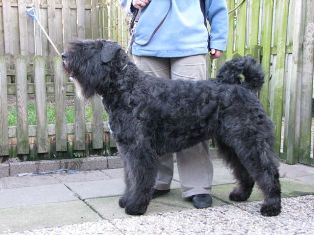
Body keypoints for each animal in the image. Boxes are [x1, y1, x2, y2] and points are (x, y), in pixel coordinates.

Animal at [62, 39, 282, 217]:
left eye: (90, 48)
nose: (64, 56)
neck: (126, 88)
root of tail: (247, 88)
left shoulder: (139, 149)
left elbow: (139, 177)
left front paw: (135, 206)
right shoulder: (127, 149)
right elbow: (130, 177)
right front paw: (126, 199)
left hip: (249, 141)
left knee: (267, 171)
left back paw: (271, 206)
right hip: (232, 145)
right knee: (245, 170)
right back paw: (240, 194)